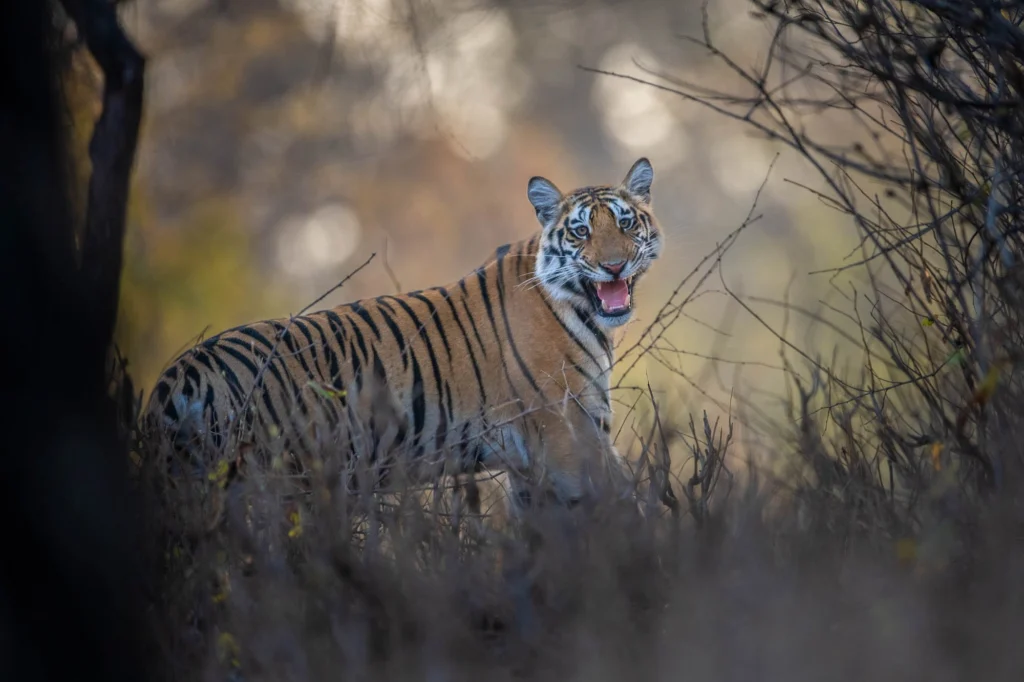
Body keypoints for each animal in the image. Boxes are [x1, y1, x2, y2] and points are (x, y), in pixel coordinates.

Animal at [143, 157, 662, 514]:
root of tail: (176, 377)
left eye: (625, 223)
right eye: (580, 232)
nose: (613, 266)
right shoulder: (567, 434)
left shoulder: (533, 458)